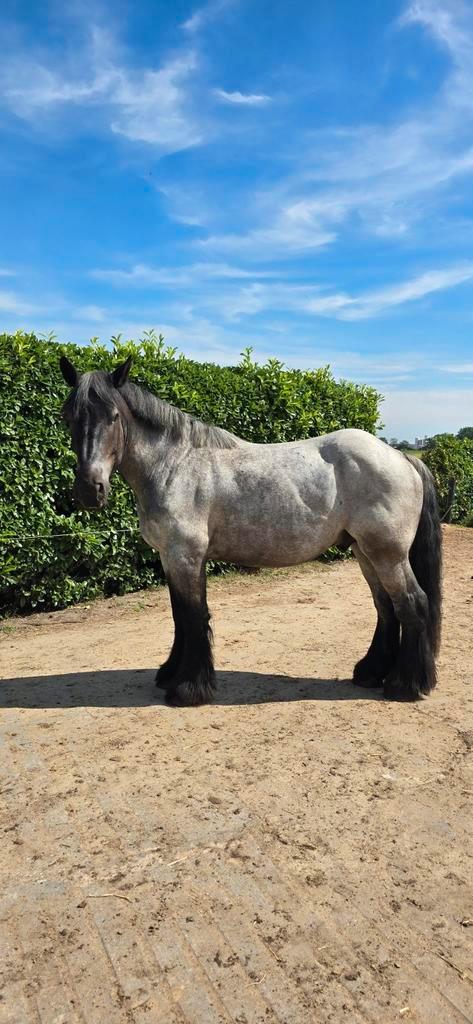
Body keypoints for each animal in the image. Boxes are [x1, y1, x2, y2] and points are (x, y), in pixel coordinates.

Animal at [59, 355, 442, 707]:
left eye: (113, 416)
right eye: (69, 417)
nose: (89, 489)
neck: (175, 464)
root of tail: (401, 457)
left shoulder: (186, 556)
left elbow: (193, 617)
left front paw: (188, 689)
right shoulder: (171, 558)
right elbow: (180, 617)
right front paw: (170, 673)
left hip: (387, 554)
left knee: (412, 604)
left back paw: (404, 686)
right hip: (365, 552)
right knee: (386, 608)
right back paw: (371, 673)